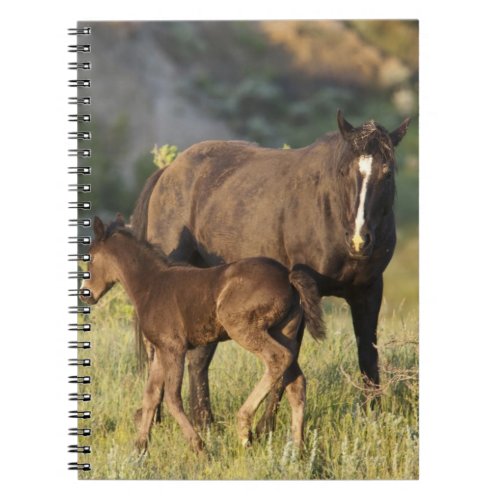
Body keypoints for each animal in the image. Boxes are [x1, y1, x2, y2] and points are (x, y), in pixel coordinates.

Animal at [80, 215, 326, 454]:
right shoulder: (161, 350)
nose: (85, 295)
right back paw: (297, 450)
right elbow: (151, 395)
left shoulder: (174, 348)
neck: (151, 286)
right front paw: (139, 449)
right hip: (286, 331)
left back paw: (244, 427)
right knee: (296, 382)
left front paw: (199, 447)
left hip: (242, 327)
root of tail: (288, 276)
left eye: (91, 257)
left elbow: (172, 398)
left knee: (278, 358)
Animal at [132, 111, 410, 432]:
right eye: (344, 172)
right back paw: (157, 419)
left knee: (199, 357)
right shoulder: (303, 294)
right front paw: (266, 427)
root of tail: (168, 171)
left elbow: (367, 355)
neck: (330, 211)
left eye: (386, 173)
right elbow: (290, 357)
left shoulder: (368, 291)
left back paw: (205, 422)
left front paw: (372, 419)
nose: (358, 239)